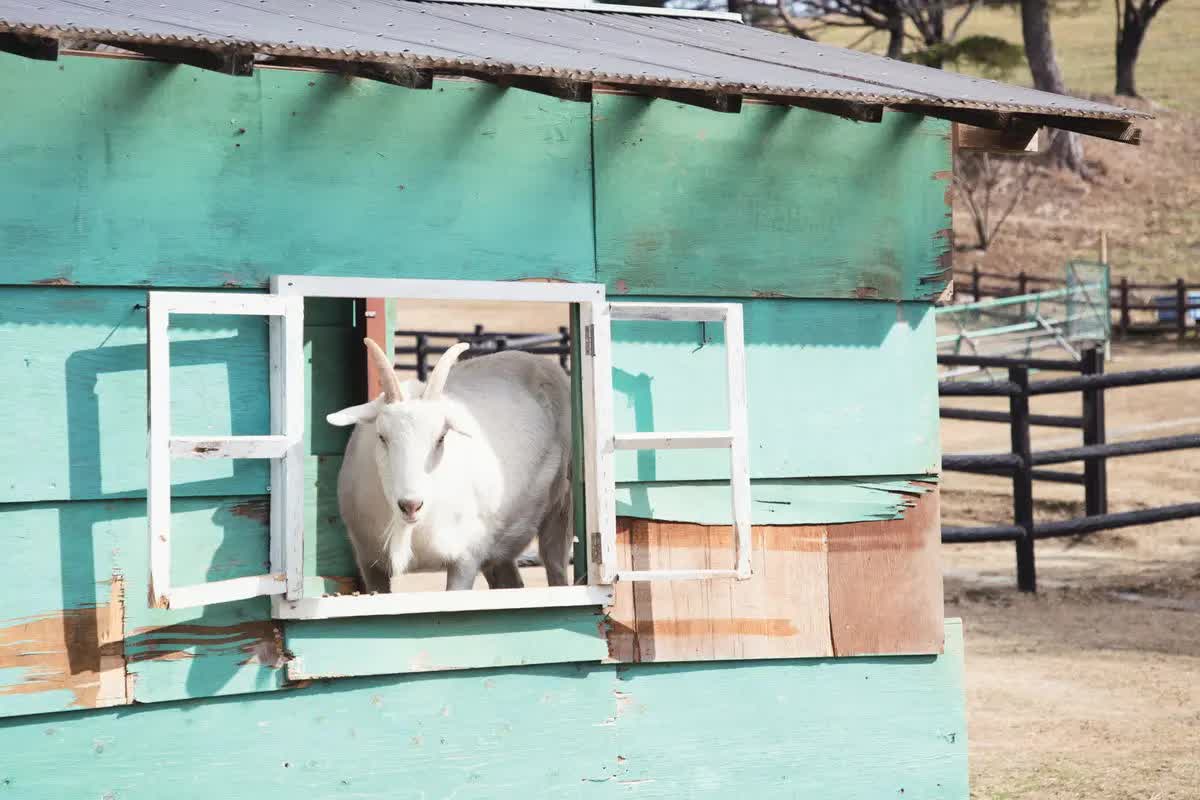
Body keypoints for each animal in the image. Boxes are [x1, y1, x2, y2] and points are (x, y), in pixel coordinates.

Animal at [326, 335, 573, 592]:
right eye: (382, 436)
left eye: (441, 437)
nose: (411, 505)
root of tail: (538, 360)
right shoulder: (369, 563)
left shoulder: (466, 557)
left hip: (560, 506)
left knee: (555, 564)